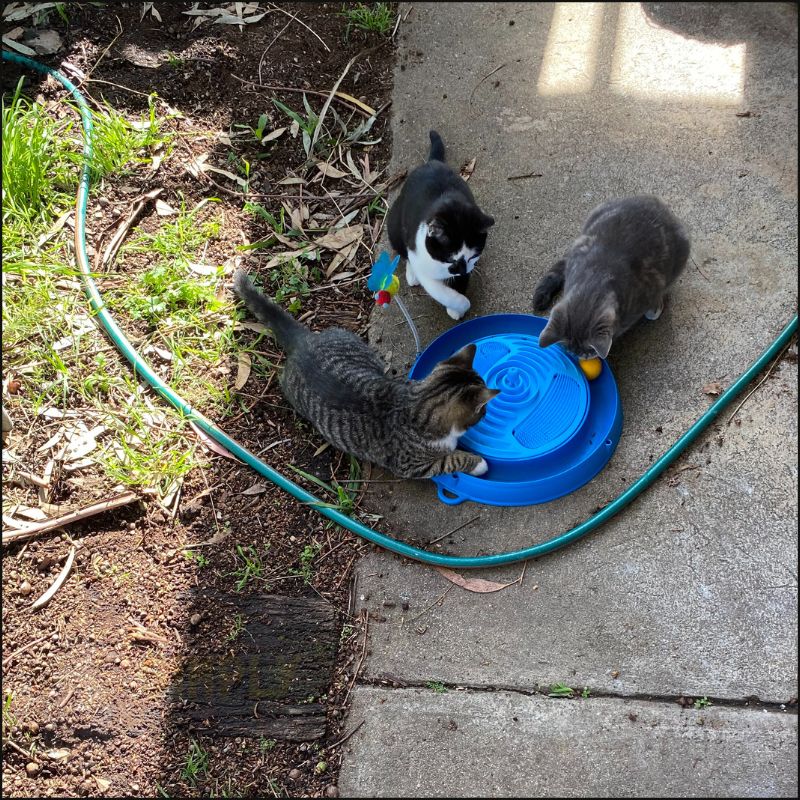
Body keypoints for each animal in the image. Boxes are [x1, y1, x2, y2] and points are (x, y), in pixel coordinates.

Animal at [388, 130, 494, 318]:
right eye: (450, 258)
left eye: (472, 256)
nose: (460, 269)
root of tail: (432, 162)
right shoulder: (421, 258)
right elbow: (440, 291)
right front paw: (461, 304)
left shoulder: (468, 267)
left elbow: (460, 283)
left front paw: (455, 309)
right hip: (394, 225)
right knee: (403, 249)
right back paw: (412, 275)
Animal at [532, 194, 688, 360]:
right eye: (570, 350)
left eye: (590, 351)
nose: (580, 357)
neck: (596, 277)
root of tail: (654, 200)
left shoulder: (652, 287)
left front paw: (655, 308)